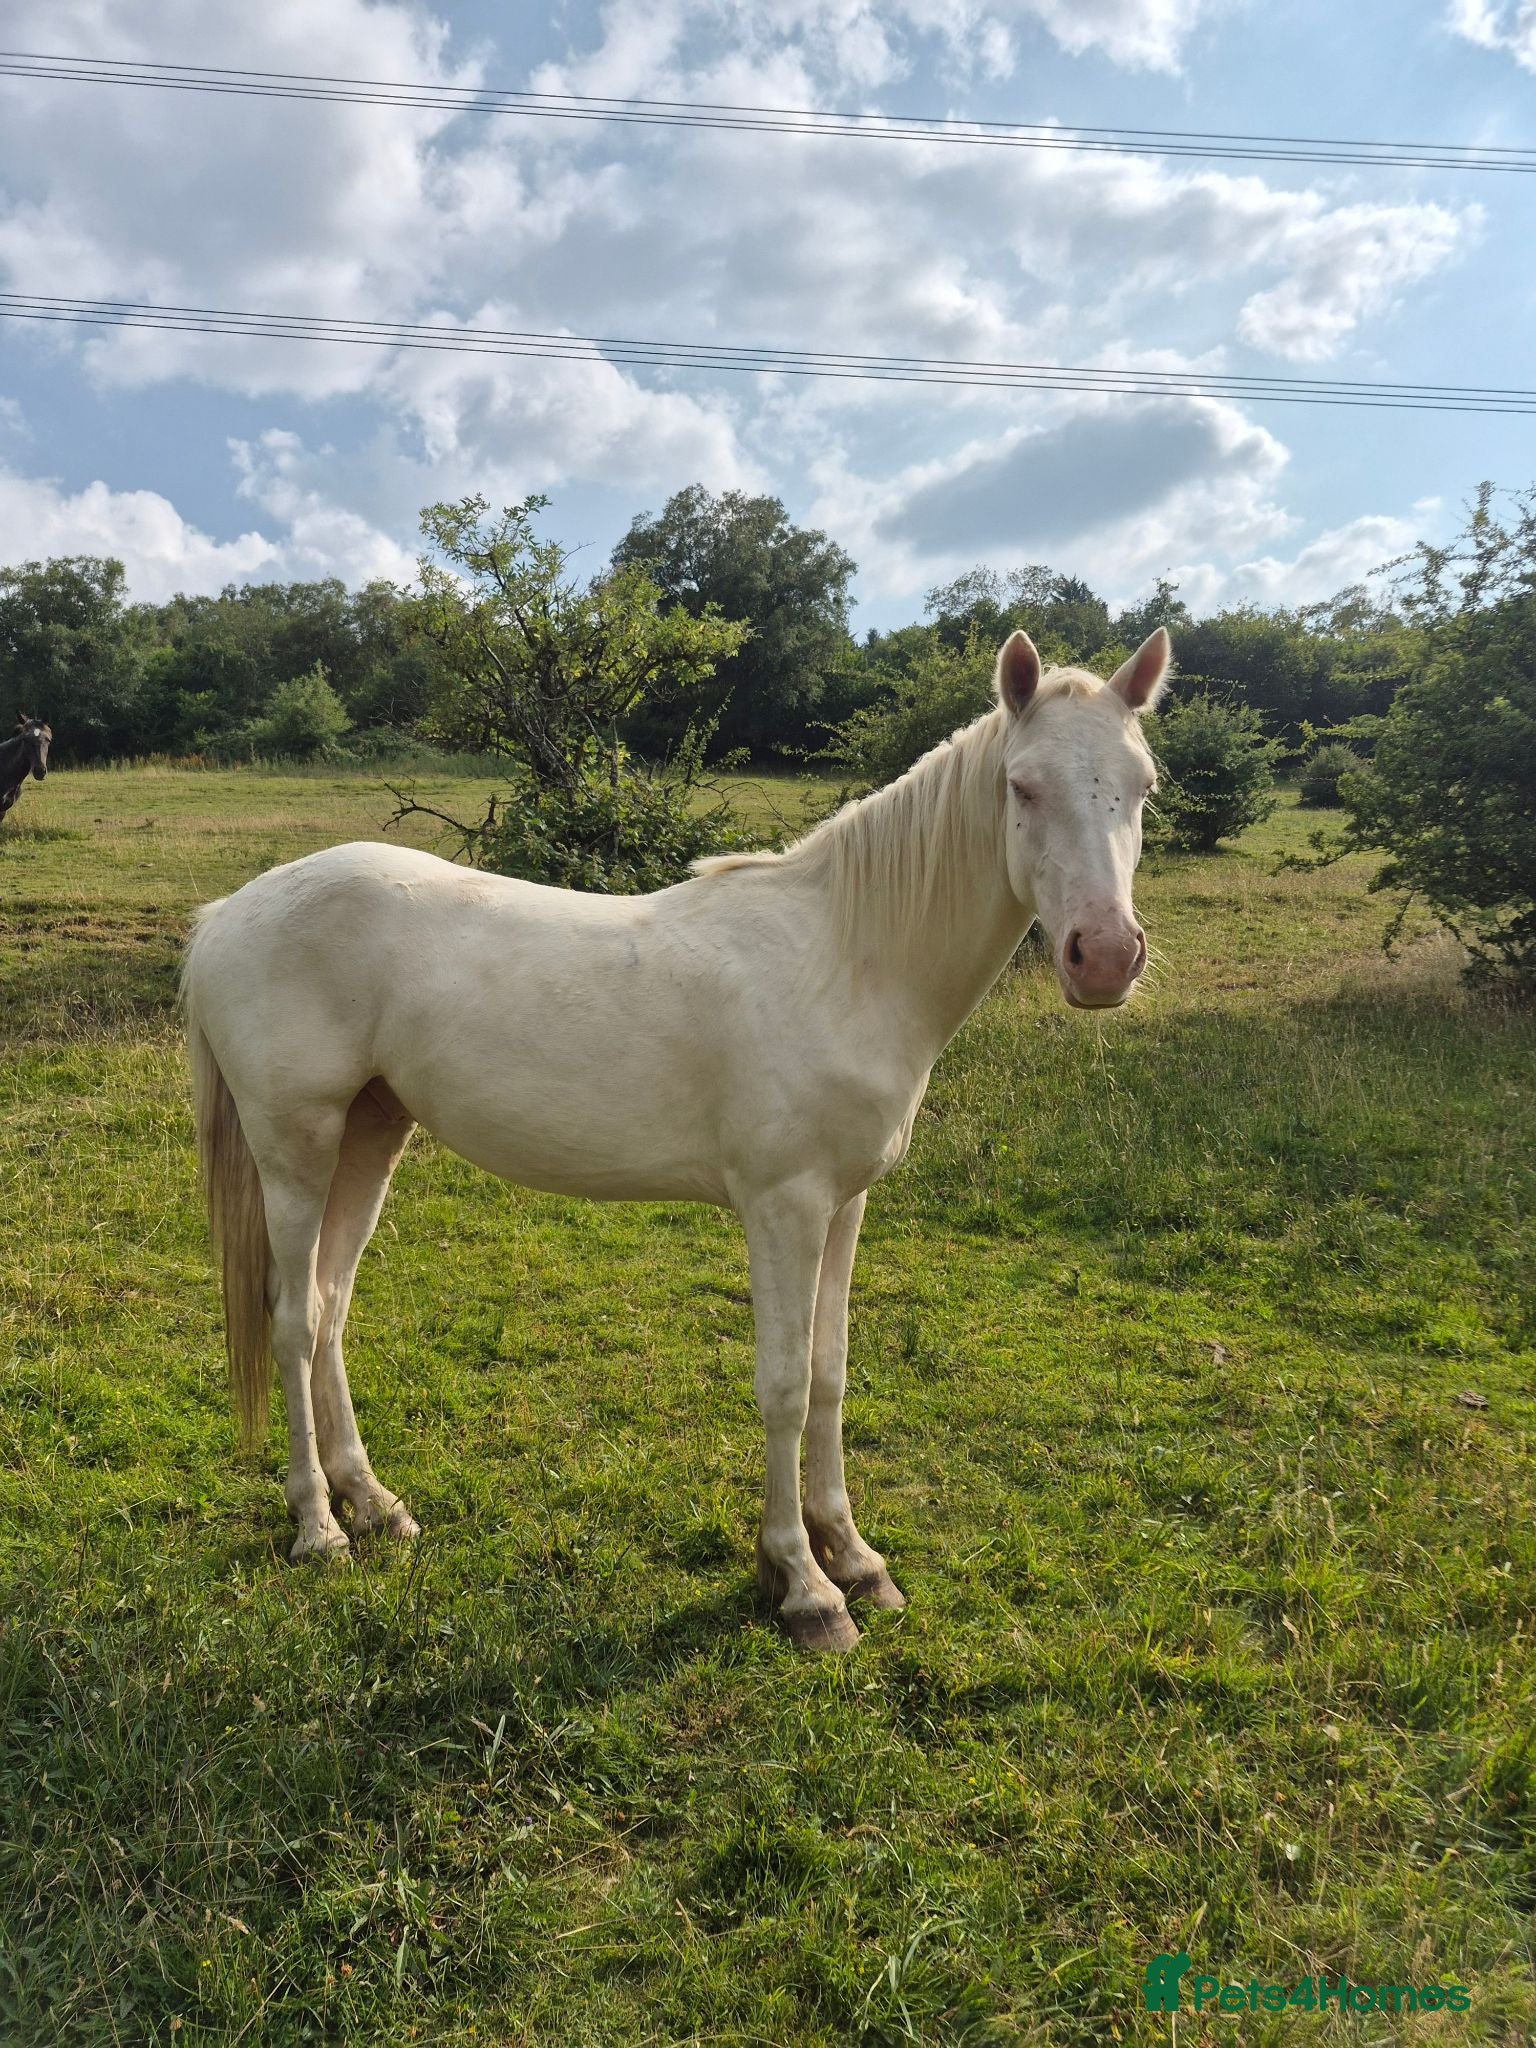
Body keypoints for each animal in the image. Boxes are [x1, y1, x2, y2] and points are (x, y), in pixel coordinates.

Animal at [182, 627, 1171, 1651]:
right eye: (1023, 786)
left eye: (1142, 786)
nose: (1105, 958)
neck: (846, 958)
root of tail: (223, 917)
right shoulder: (783, 1207)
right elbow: (783, 1383)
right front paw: (804, 1585)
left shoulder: (844, 1204)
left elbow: (830, 1373)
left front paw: (855, 1558)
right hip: (295, 1152)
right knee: (293, 1320)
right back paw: (320, 1528)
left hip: (371, 1136)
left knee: (330, 1304)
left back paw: (374, 1504)